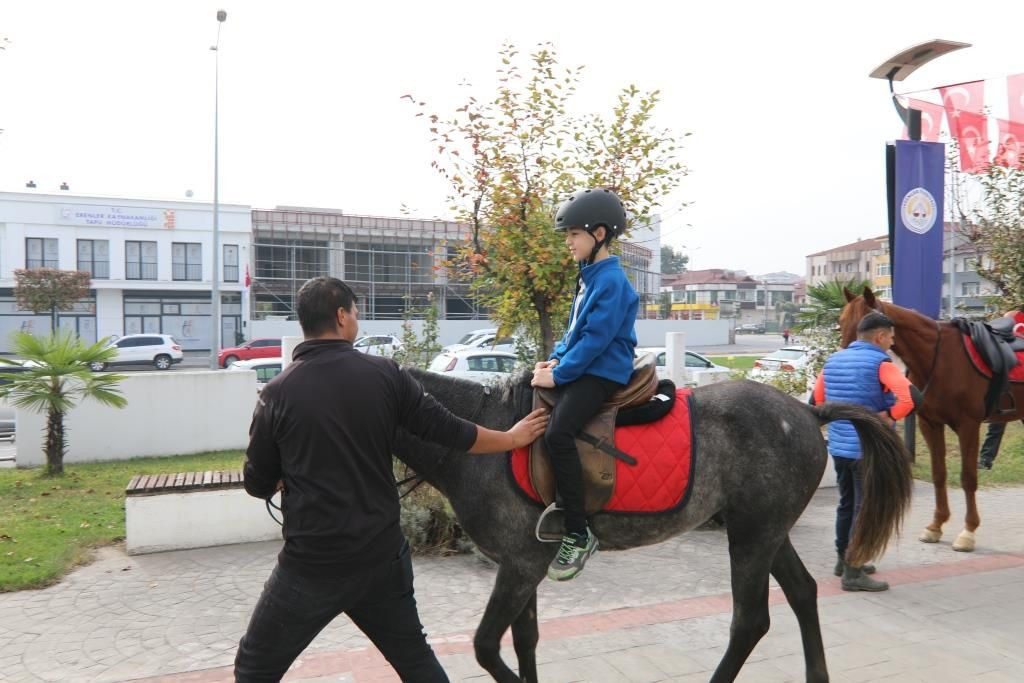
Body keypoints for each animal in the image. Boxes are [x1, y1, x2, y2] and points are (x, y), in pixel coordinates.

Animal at [393, 374, 913, 683]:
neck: (486, 435)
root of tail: (807, 412)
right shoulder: (522, 565)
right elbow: (525, 641)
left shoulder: (520, 566)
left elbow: (485, 646)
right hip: (766, 530)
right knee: (803, 593)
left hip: (752, 536)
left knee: (750, 620)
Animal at [839, 286, 1024, 548]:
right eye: (841, 322)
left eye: (862, 324)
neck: (939, 358)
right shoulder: (930, 424)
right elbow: (939, 474)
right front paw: (936, 526)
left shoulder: (968, 425)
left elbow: (968, 477)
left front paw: (968, 531)